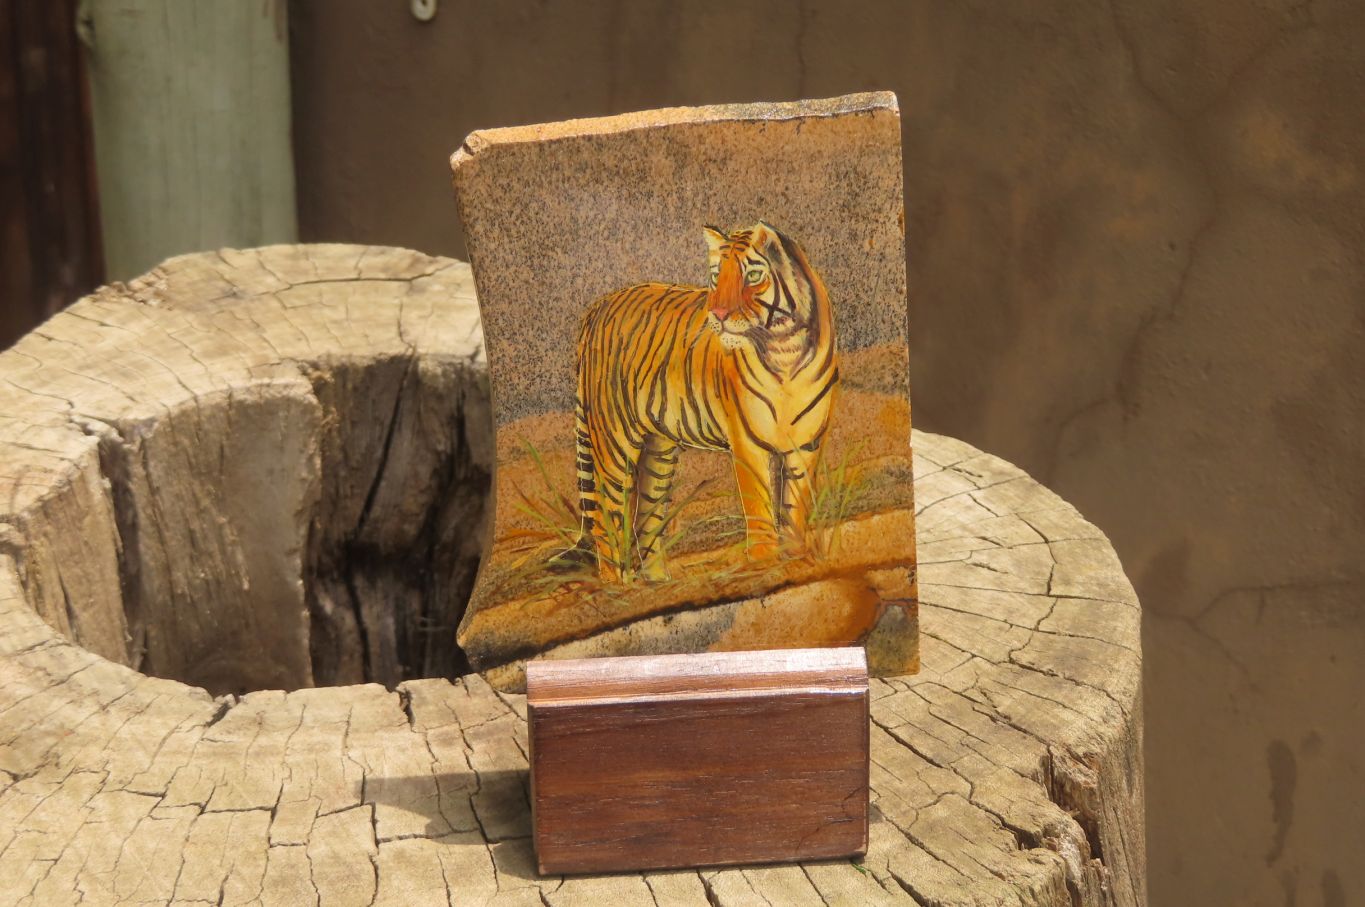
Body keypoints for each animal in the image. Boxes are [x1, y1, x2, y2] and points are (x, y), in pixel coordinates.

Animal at [555, 221, 840, 583]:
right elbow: (760, 510)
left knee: (646, 517)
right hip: (614, 441)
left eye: (752, 276)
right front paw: (765, 564)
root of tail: (597, 307)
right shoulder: (748, 444)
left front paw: (798, 560)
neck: (784, 348)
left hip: (659, 448)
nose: (717, 314)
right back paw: (619, 586)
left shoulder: (806, 444)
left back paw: (658, 583)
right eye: (717, 275)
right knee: (609, 517)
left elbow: (795, 510)